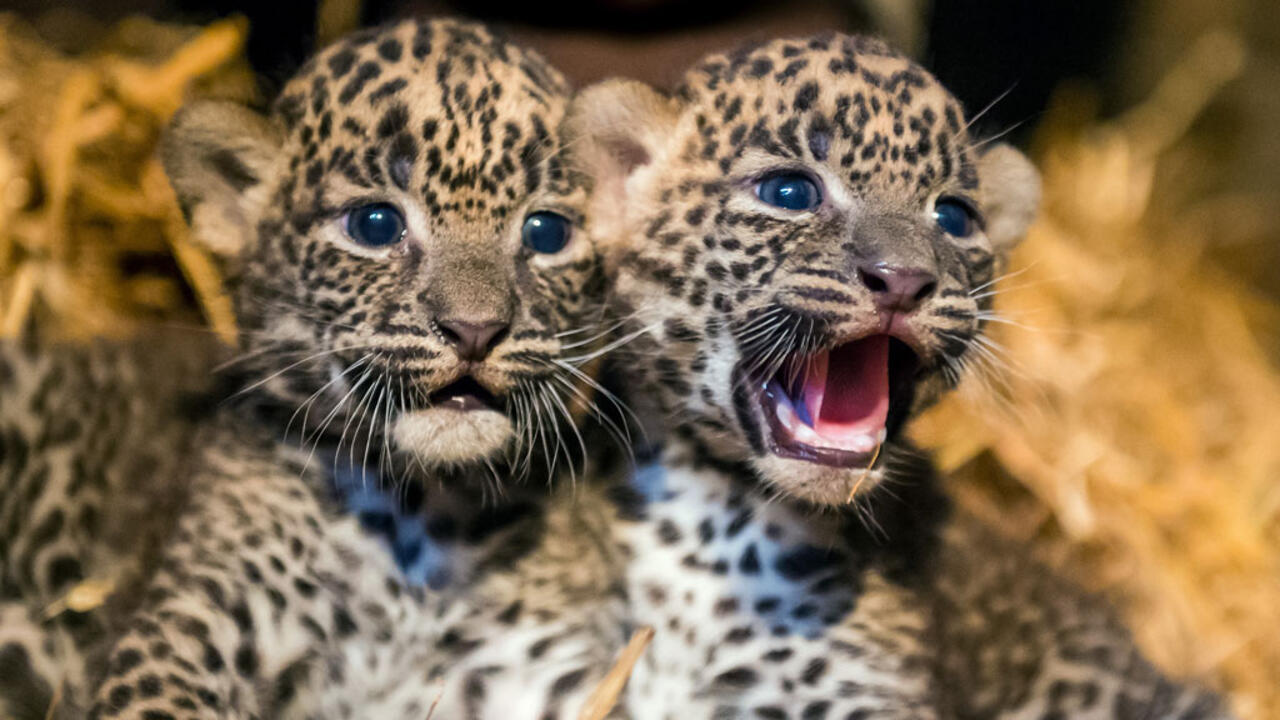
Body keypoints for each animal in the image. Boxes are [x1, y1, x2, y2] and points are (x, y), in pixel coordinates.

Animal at [1, 18, 634, 720]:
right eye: (375, 224)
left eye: (547, 232)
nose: (475, 330)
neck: (423, 520)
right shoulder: (182, 638)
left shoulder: (539, 671)